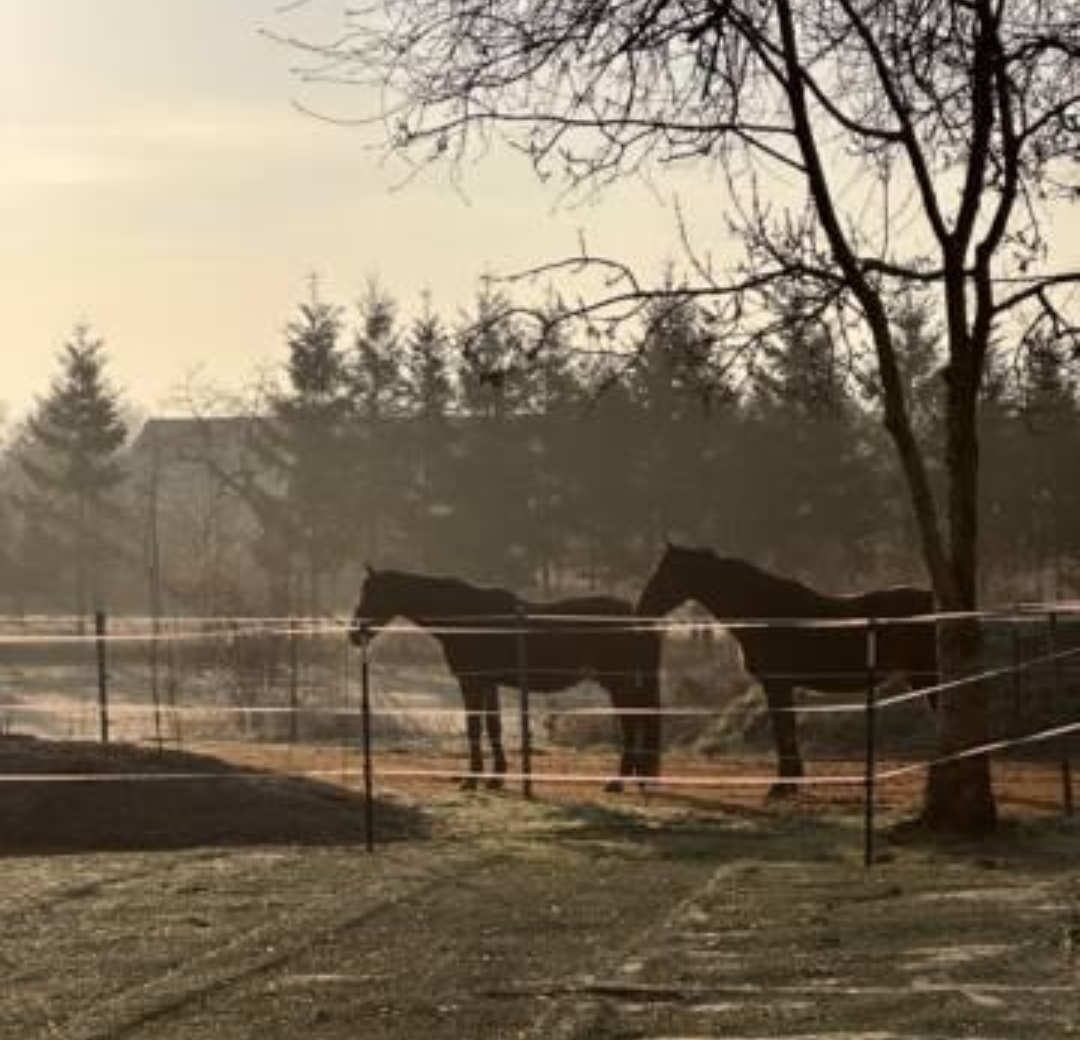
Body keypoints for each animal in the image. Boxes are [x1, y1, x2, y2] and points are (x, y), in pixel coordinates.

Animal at [349, 567, 662, 790]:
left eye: (374, 594)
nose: (354, 633)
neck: (469, 620)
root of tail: (636, 617)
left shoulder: (473, 682)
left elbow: (474, 728)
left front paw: (472, 779)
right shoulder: (490, 684)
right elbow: (493, 727)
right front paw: (496, 777)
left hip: (619, 684)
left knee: (632, 723)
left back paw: (618, 782)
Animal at [637, 543, 938, 794]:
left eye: (665, 574)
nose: (642, 609)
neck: (766, 613)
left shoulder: (778, 684)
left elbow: (783, 730)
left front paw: (783, 786)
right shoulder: (782, 685)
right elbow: (786, 729)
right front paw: (791, 782)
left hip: (927, 676)